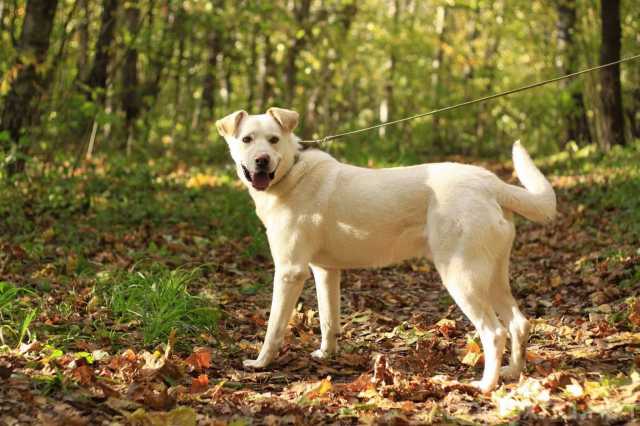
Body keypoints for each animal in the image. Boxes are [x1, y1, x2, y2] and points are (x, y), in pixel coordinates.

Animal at [215, 107, 556, 392]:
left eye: (273, 140)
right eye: (247, 140)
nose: (261, 160)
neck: (291, 173)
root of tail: (490, 183)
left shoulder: (289, 272)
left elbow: (274, 327)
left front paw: (261, 363)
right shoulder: (325, 271)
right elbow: (329, 320)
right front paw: (327, 355)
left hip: (462, 278)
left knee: (494, 332)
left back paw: (486, 385)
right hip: (492, 276)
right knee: (519, 323)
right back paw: (513, 372)